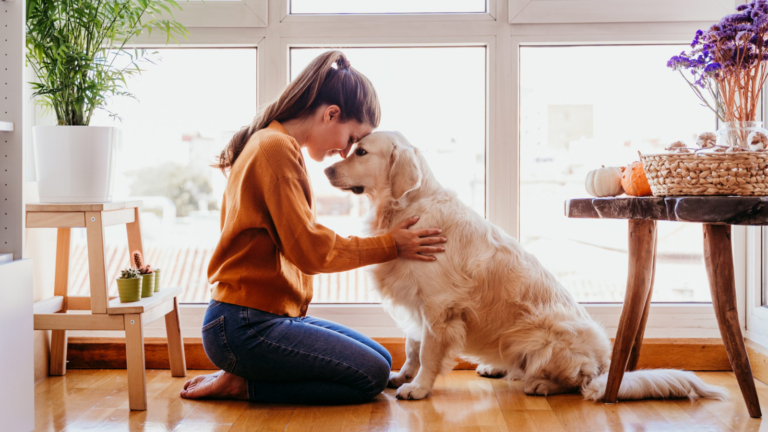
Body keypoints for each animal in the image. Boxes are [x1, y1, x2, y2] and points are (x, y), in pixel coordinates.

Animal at [322, 131, 728, 402]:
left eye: (361, 152)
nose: (325, 171)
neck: (405, 208)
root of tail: (604, 366)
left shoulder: (438, 307)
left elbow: (429, 352)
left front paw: (418, 387)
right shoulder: (416, 302)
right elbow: (412, 345)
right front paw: (402, 375)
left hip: (543, 335)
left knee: (575, 382)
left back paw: (540, 383)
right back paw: (497, 367)